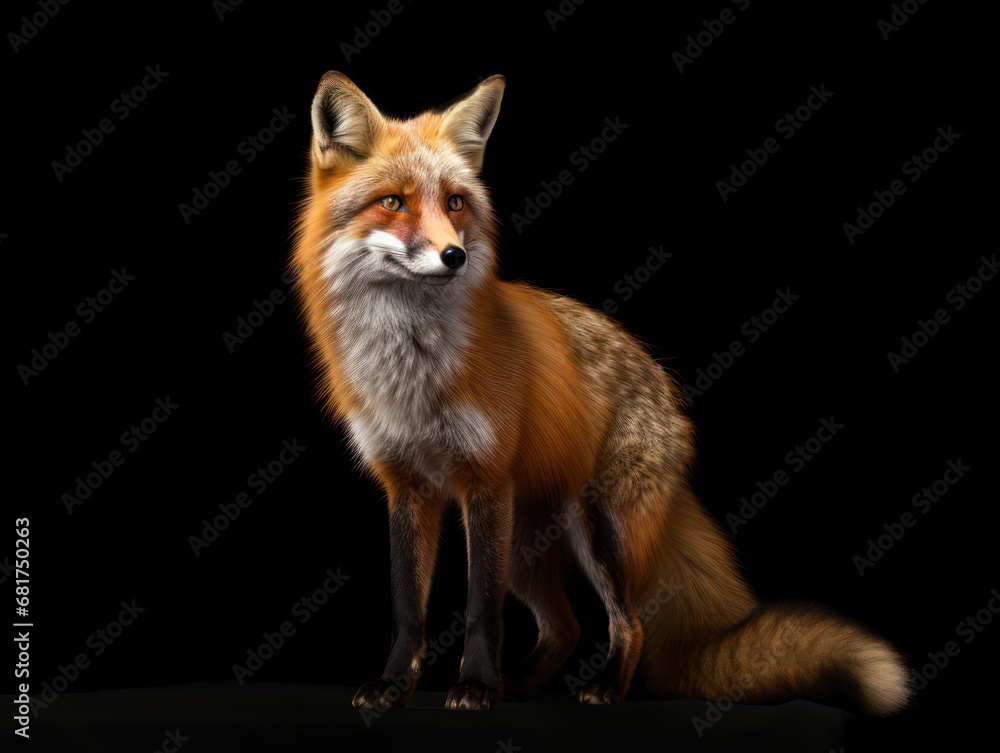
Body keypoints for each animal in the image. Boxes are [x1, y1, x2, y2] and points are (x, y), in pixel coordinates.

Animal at [291, 71, 912, 714]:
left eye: (456, 202)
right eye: (394, 202)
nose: (454, 256)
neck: (411, 374)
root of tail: (665, 386)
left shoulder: (484, 482)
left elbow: (481, 611)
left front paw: (475, 688)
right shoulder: (408, 488)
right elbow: (408, 609)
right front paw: (394, 686)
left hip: (595, 529)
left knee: (627, 623)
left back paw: (601, 688)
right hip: (525, 547)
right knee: (564, 628)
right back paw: (517, 689)